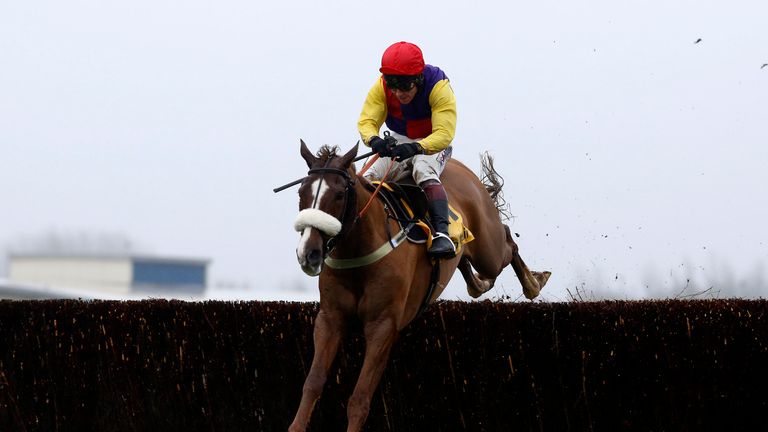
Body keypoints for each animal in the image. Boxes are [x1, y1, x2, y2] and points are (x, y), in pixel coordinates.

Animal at [290, 140, 552, 430]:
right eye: (301, 191)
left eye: (338, 194)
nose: (309, 253)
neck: (359, 252)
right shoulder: (330, 319)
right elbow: (312, 383)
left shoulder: (383, 325)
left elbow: (360, 398)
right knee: (467, 264)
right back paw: (478, 279)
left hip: (488, 251)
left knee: (506, 241)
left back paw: (534, 283)